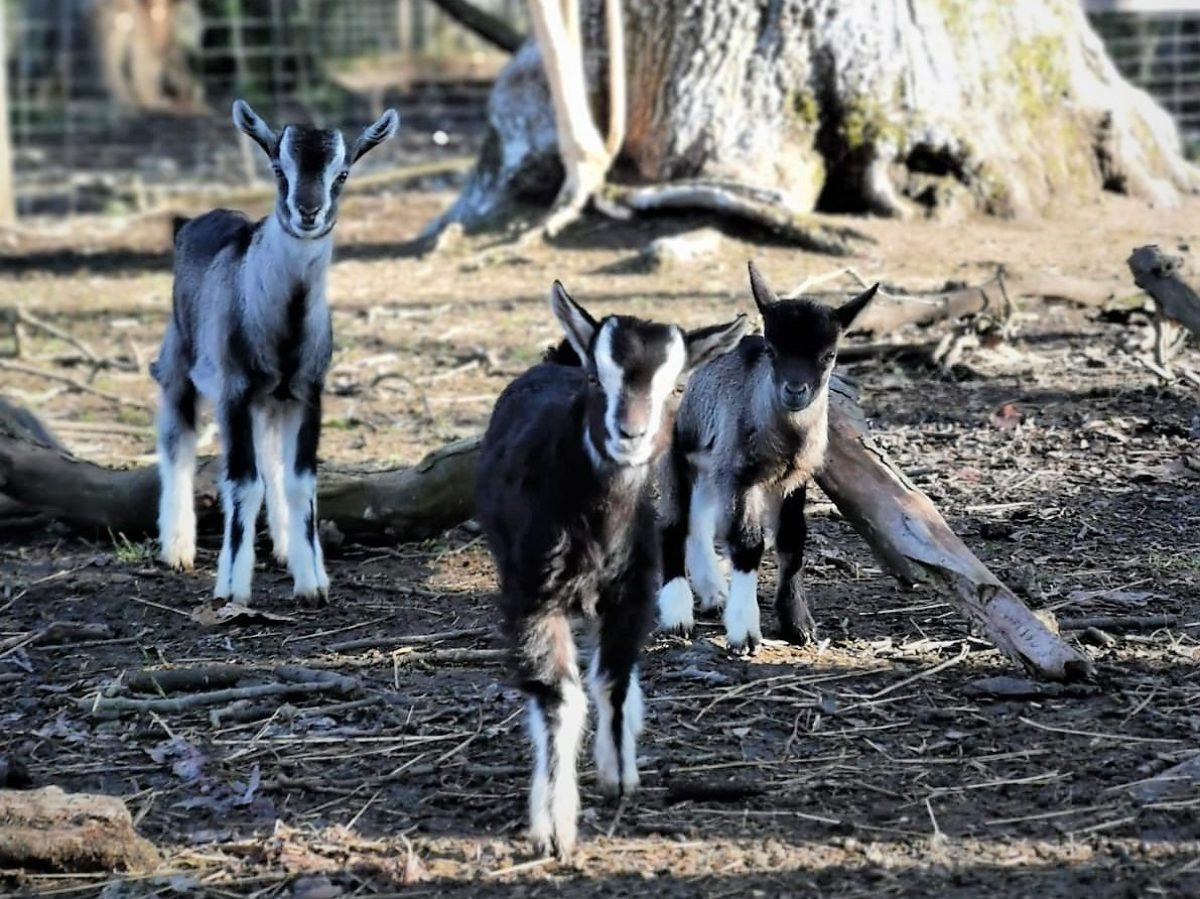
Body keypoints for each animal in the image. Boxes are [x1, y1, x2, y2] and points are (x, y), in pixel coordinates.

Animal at [150, 100, 398, 602]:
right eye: (278, 168)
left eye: (342, 173)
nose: (308, 212)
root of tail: (188, 224)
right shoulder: (234, 392)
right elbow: (243, 484)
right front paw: (231, 590)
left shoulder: (307, 392)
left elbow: (300, 481)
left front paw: (313, 583)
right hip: (180, 362)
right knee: (176, 443)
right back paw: (178, 549)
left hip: (270, 402)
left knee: (272, 463)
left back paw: (283, 547)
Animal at [472, 284, 744, 859]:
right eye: (599, 379)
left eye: (676, 386)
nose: (630, 434)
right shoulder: (533, 595)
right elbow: (559, 696)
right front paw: (554, 826)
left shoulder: (632, 591)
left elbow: (613, 680)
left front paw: (618, 771)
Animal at [662, 259, 878, 652]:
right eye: (773, 351)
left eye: (829, 356)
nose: (795, 390)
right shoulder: (740, 475)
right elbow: (748, 544)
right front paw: (745, 632)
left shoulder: (793, 478)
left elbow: (792, 539)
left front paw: (799, 625)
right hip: (683, 453)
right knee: (674, 522)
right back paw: (677, 615)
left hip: (713, 472)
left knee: (699, 523)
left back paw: (714, 593)